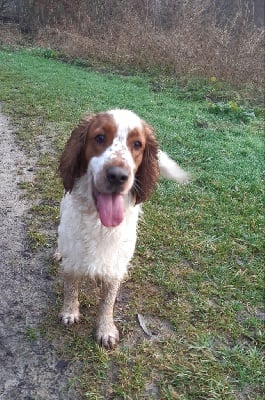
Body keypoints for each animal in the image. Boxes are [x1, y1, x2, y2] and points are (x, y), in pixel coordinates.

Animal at [55, 108, 188, 346]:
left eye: (137, 144)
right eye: (99, 138)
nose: (117, 175)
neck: (99, 222)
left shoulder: (116, 265)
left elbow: (107, 302)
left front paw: (105, 329)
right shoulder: (73, 259)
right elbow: (71, 288)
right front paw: (70, 312)